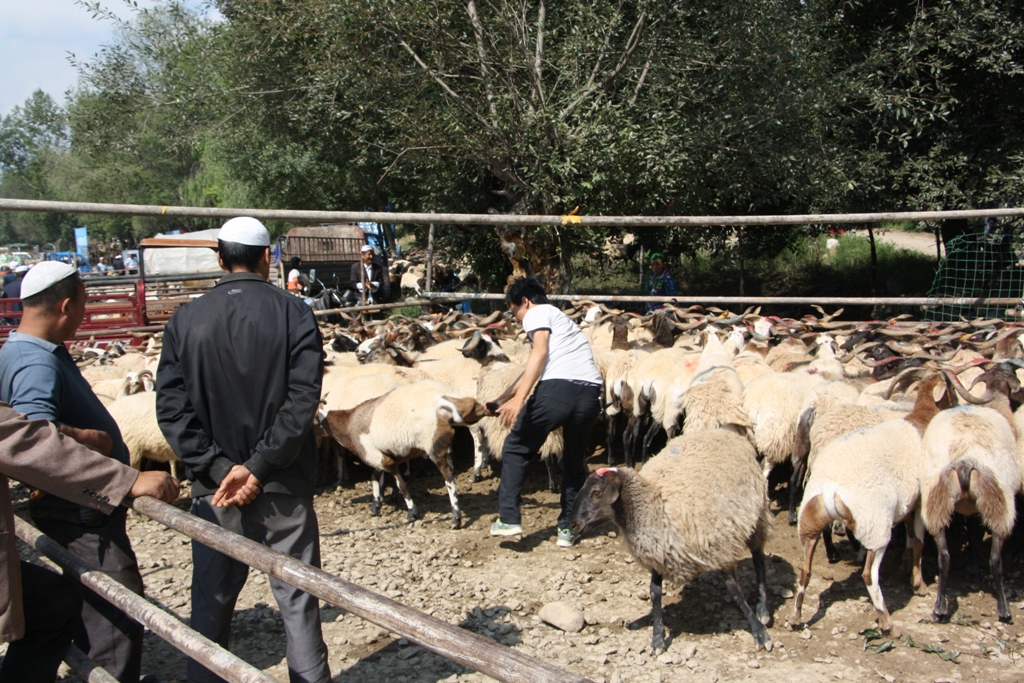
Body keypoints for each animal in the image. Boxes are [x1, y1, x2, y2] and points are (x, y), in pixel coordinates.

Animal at [573, 432, 770, 651]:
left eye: (596, 492)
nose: (574, 524)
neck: (653, 506)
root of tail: (727, 432)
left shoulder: (721, 550)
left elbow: (735, 591)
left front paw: (759, 631)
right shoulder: (660, 554)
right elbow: (655, 592)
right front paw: (657, 637)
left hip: (757, 515)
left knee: (759, 558)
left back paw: (763, 609)